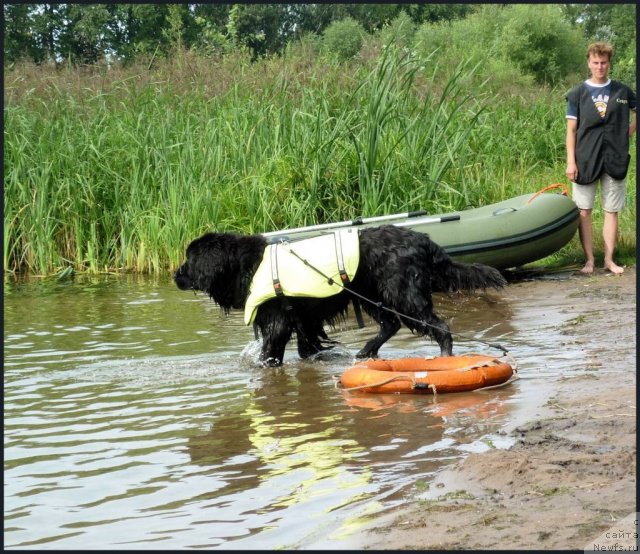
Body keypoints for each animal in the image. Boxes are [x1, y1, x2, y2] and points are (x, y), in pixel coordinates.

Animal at [175, 224, 504, 366]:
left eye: (189, 260)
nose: (175, 275)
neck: (246, 266)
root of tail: (423, 239)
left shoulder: (278, 319)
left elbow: (272, 348)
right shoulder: (304, 319)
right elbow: (307, 347)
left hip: (403, 293)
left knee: (437, 326)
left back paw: (444, 357)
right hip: (369, 292)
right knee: (391, 324)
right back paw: (366, 352)